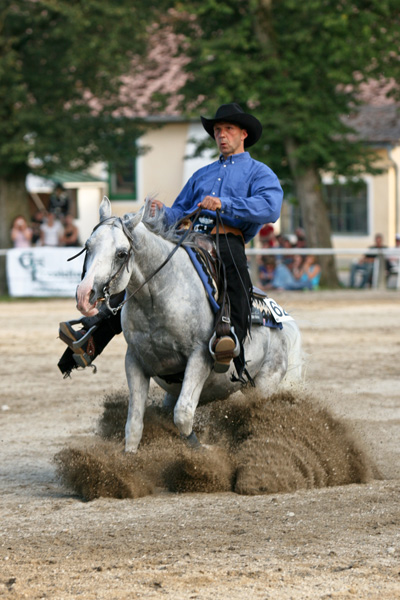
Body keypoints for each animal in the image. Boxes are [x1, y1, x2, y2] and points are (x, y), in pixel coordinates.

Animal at [74, 199, 304, 452]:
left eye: (121, 253)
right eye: (87, 246)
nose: (84, 295)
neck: (157, 298)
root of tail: (283, 326)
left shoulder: (199, 356)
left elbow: (183, 415)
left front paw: (202, 451)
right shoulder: (135, 361)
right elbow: (133, 425)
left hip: (264, 384)